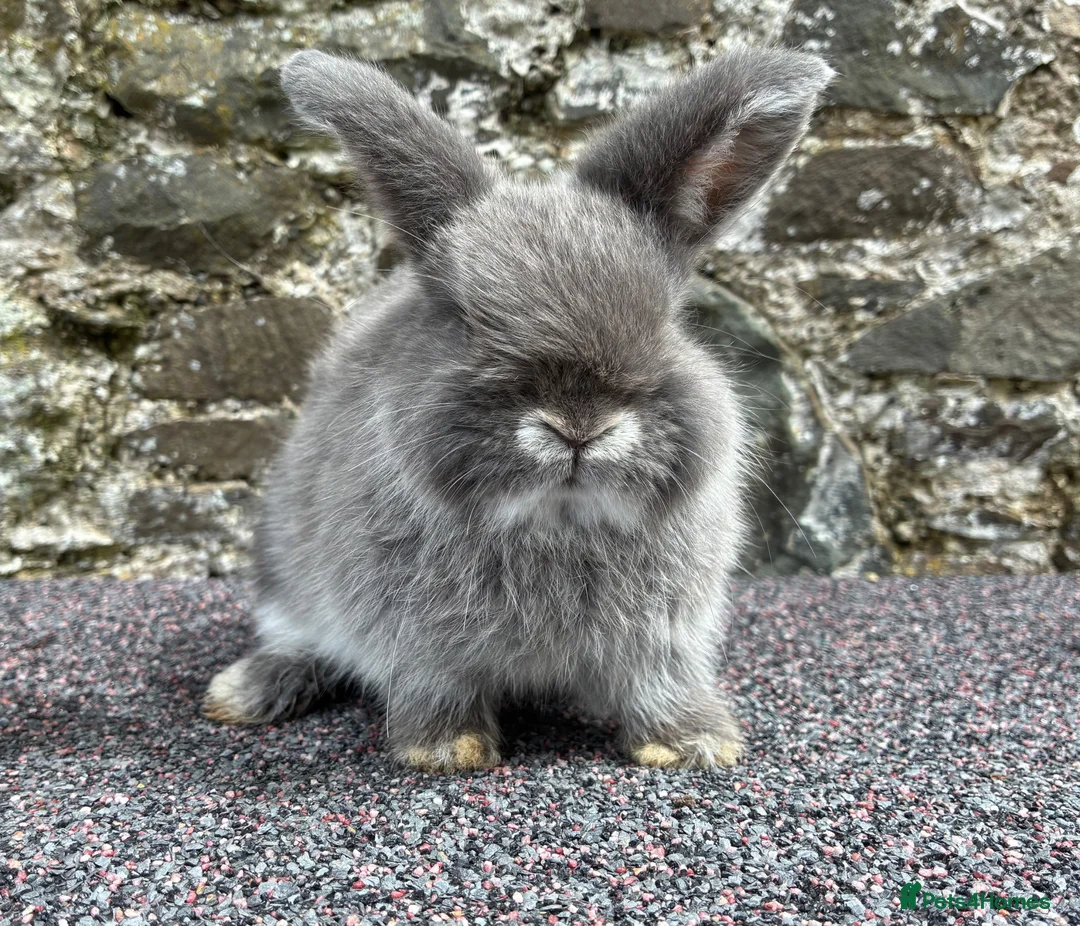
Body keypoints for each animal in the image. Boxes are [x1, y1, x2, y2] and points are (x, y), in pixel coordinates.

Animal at [203, 45, 832, 771]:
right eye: (460, 318)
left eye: (669, 318)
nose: (578, 426)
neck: (555, 521)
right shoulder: (420, 639)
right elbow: (437, 687)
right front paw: (447, 749)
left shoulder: (664, 636)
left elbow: (659, 685)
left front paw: (693, 743)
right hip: (285, 560)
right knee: (297, 637)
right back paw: (244, 691)